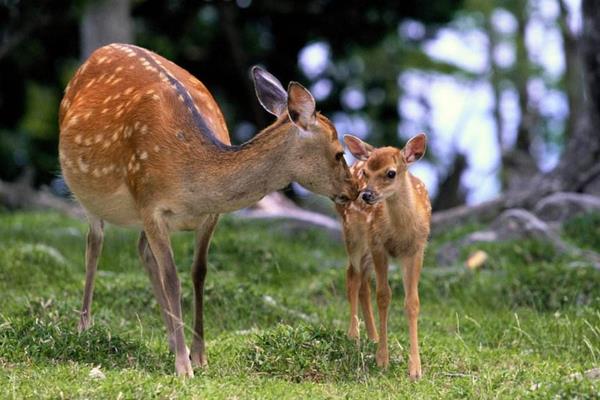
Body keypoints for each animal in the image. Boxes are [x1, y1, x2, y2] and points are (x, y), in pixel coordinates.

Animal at [57, 44, 356, 378]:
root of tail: (99, 52)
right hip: (87, 193)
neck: (192, 180)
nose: (355, 190)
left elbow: (198, 273)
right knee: (94, 245)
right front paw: (183, 367)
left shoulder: (209, 216)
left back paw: (172, 340)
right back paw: (84, 327)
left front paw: (198, 355)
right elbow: (172, 279)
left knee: (142, 250)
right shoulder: (150, 204)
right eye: (338, 153)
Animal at [338, 133, 432, 380]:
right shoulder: (379, 244)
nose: (366, 194)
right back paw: (354, 334)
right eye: (366, 173)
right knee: (352, 276)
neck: (400, 231)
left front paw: (415, 369)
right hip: (353, 235)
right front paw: (382, 360)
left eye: (391, 173)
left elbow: (412, 302)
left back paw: (372, 336)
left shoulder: (417, 249)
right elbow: (384, 296)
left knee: (363, 283)